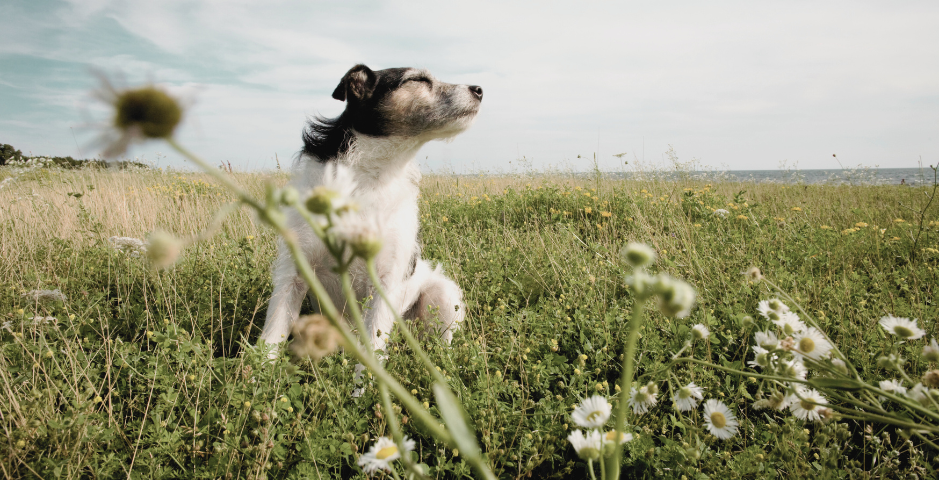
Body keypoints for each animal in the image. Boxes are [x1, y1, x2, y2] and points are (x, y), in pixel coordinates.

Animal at [258, 65, 484, 362]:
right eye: (418, 79)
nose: (479, 89)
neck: (369, 177)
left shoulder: (384, 284)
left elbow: (371, 354)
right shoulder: (292, 275)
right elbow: (271, 339)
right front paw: (256, 375)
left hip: (443, 295)